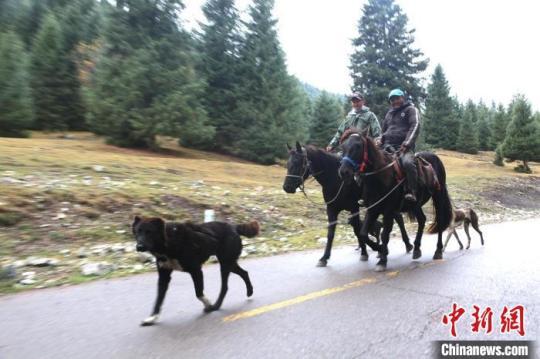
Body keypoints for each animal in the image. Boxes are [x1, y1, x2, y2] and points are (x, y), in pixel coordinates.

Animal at [130, 217, 258, 326]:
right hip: (229, 263)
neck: (168, 241)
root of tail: (234, 227)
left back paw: (216, 306)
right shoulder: (164, 276)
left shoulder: (196, 270)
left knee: (225, 287)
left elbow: (199, 293)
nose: (139, 246)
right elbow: (159, 299)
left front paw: (208, 304)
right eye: (137, 232)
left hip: (225, 264)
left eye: (149, 232)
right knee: (244, 273)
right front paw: (152, 317)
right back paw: (249, 291)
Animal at [282, 143, 414, 268]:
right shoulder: (331, 209)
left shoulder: (354, 207)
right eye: (288, 163)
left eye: (298, 163)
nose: (287, 187)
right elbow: (331, 233)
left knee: (399, 219)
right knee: (398, 217)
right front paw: (324, 258)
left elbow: (357, 230)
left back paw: (407, 245)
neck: (335, 179)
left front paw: (368, 252)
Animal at [340, 134, 454, 272]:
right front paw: (380, 250)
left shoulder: (389, 210)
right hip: (415, 204)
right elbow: (363, 233)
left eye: (358, 146)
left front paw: (382, 259)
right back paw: (416, 249)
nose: (343, 171)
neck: (380, 176)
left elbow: (384, 234)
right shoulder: (372, 208)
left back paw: (438, 251)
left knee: (440, 221)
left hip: (438, 196)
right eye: (343, 146)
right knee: (422, 219)